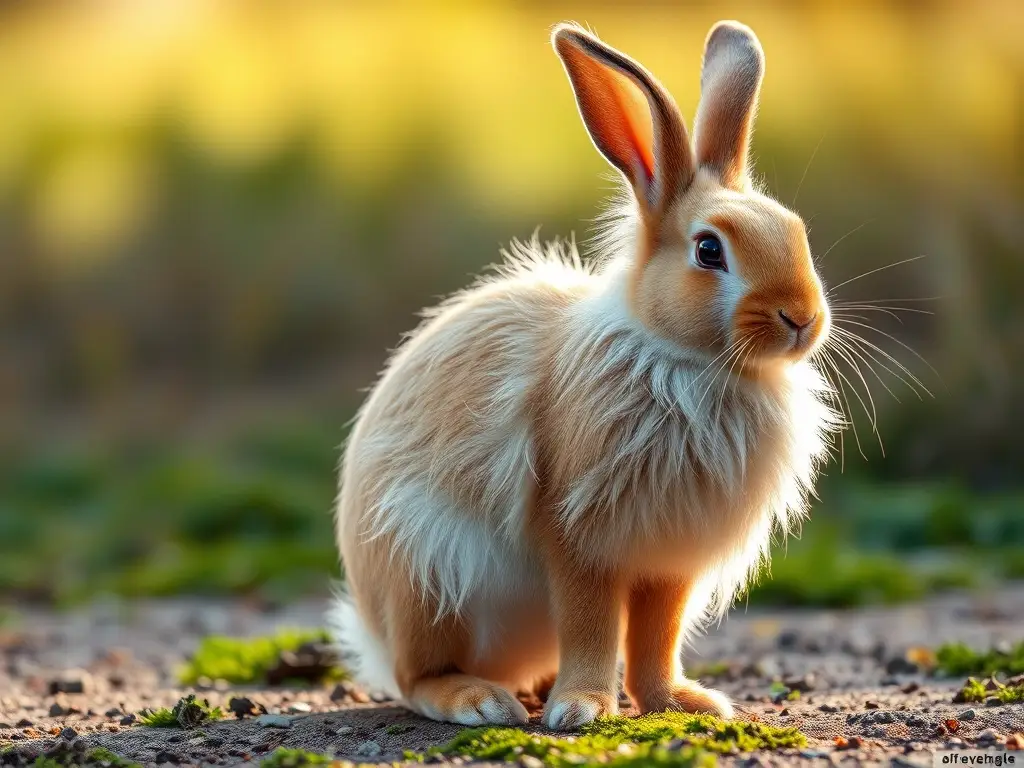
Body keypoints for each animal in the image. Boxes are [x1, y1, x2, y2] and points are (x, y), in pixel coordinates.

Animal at [331, 19, 839, 731]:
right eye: (709, 250)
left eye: (797, 231)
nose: (803, 318)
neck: (684, 358)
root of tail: (371, 630)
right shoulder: (579, 539)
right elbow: (593, 622)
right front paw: (582, 711)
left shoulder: (668, 563)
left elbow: (657, 638)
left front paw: (682, 702)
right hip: (427, 574)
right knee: (415, 676)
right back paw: (480, 701)